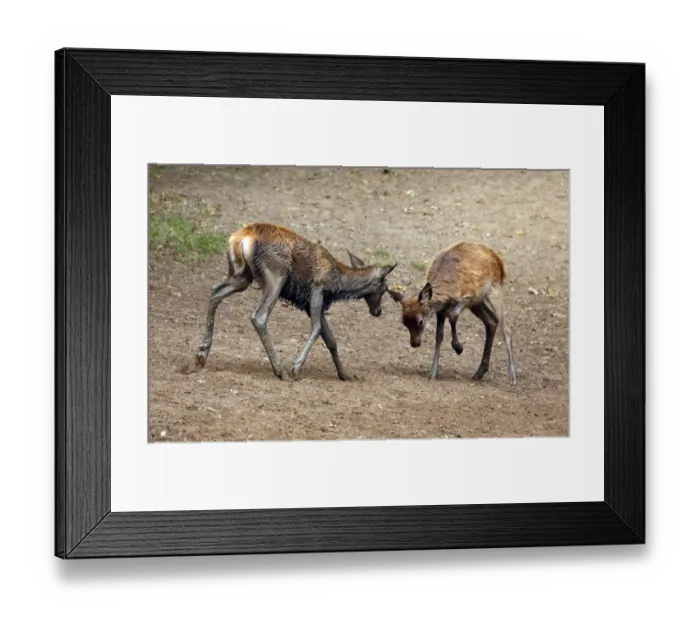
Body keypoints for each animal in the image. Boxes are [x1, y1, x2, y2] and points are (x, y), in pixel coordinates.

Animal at [193, 222, 397, 381]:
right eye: (384, 289)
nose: (378, 311)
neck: (338, 283)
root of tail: (241, 239)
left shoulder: (309, 303)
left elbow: (331, 339)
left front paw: (345, 375)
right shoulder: (317, 290)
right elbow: (316, 328)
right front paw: (296, 366)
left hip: (241, 276)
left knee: (215, 292)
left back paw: (201, 354)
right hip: (276, 276)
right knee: (259, 316)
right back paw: (280, 370)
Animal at [388, 241, 517, 385]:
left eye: (420, 321)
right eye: (404, 322)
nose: (415, 344)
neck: (450, 290)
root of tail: (499, 263)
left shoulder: (470, 295)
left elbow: (453, 314)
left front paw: (459, 347)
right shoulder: (440, 311)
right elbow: (439, 336)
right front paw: (433, 373)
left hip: (493, 292)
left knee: (506, 329)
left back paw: (512, 377)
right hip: (478, 304)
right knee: (491, 322)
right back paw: (479, 372)